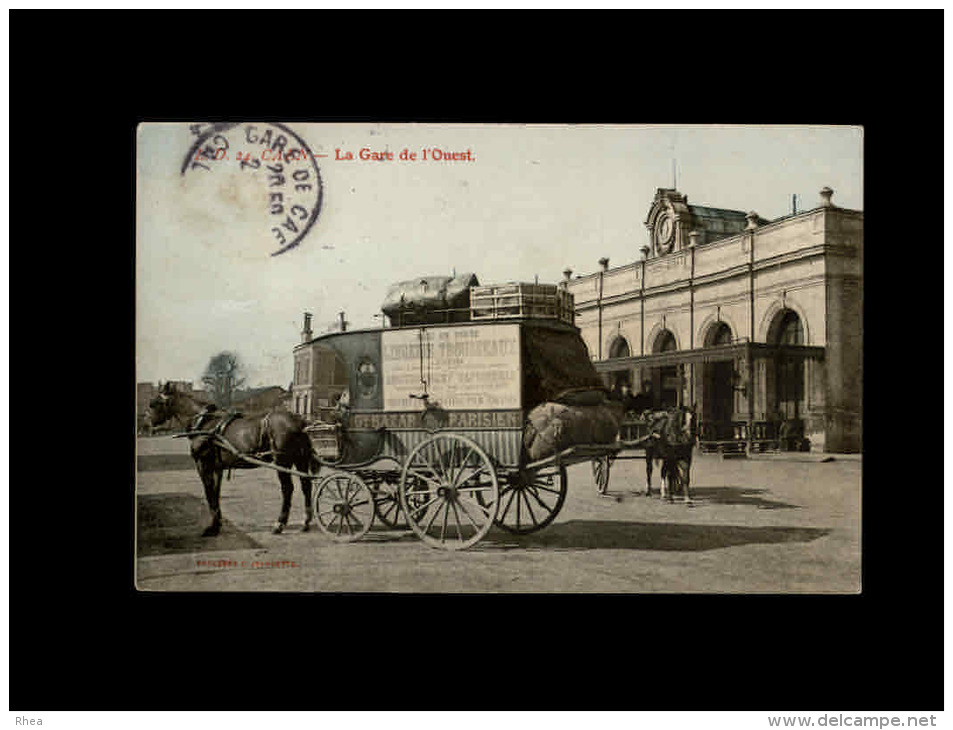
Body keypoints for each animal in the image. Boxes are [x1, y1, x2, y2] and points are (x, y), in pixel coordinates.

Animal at [149, 382, 318, 536]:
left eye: (155, 403)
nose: (149, 422)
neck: (205, 423)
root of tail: (299, 422)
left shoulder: (203, 465)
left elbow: (209, 494)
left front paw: (212, 527)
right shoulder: (217, 468)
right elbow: (216, 493)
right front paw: (217, 524)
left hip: (283, 462)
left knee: (288, 489)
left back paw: (279, 523)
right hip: (300, 460)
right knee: (306, 486)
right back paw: (306, 521)